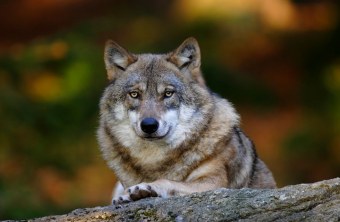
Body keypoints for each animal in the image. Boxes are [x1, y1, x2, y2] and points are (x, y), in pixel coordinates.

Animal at [96, 36, 276, 205]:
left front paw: (145, 188)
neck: (154, 159)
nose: (149, 125)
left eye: (168, 93)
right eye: (134, 94)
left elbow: (167, 181)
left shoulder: (214, 183)